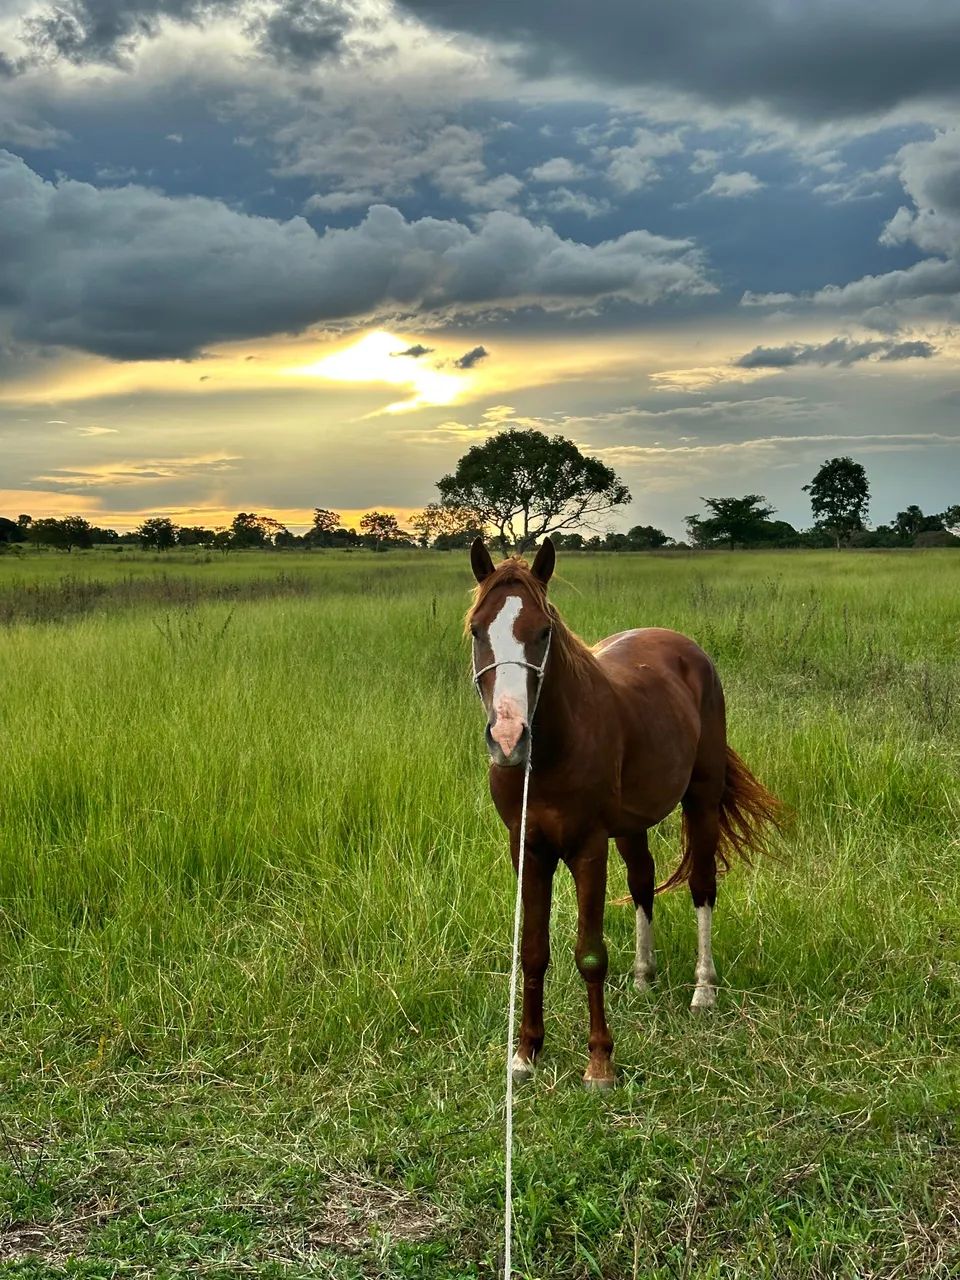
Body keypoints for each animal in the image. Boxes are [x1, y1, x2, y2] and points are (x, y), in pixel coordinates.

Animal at [467, 536, 782, 1089]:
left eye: (543, 630)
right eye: (477, 629)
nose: (508, 738)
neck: (551, 752)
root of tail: (684, 646)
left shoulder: (588, 848)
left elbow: (590, 954)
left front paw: (600, 1063)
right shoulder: (528, 848)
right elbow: (533, 951)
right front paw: (526, 1053)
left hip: (700, 801)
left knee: (702, 886)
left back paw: (703, 990)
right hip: (632, 827)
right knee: (642, 883)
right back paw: (642, 977)